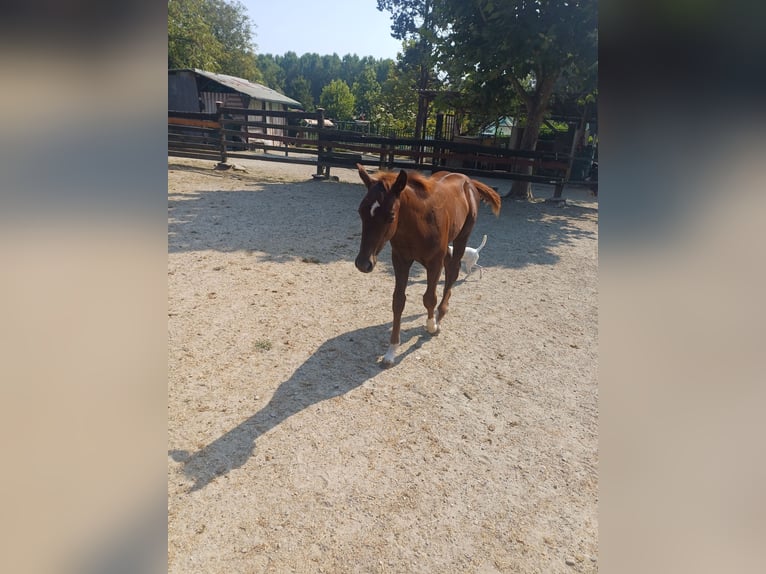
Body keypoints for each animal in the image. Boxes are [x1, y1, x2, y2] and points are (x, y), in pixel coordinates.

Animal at [356, 164, 504, 366]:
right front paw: (391, 351)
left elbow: (429, 298)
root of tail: (468, 179)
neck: (418, 225)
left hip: (462, 237)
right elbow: (398, 301)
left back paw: (441, 315)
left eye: (391, 216)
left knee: (453, 271)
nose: (363, 263)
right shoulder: (400, 260)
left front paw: (432, 325)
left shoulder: (434, 263)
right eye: (360, 211)